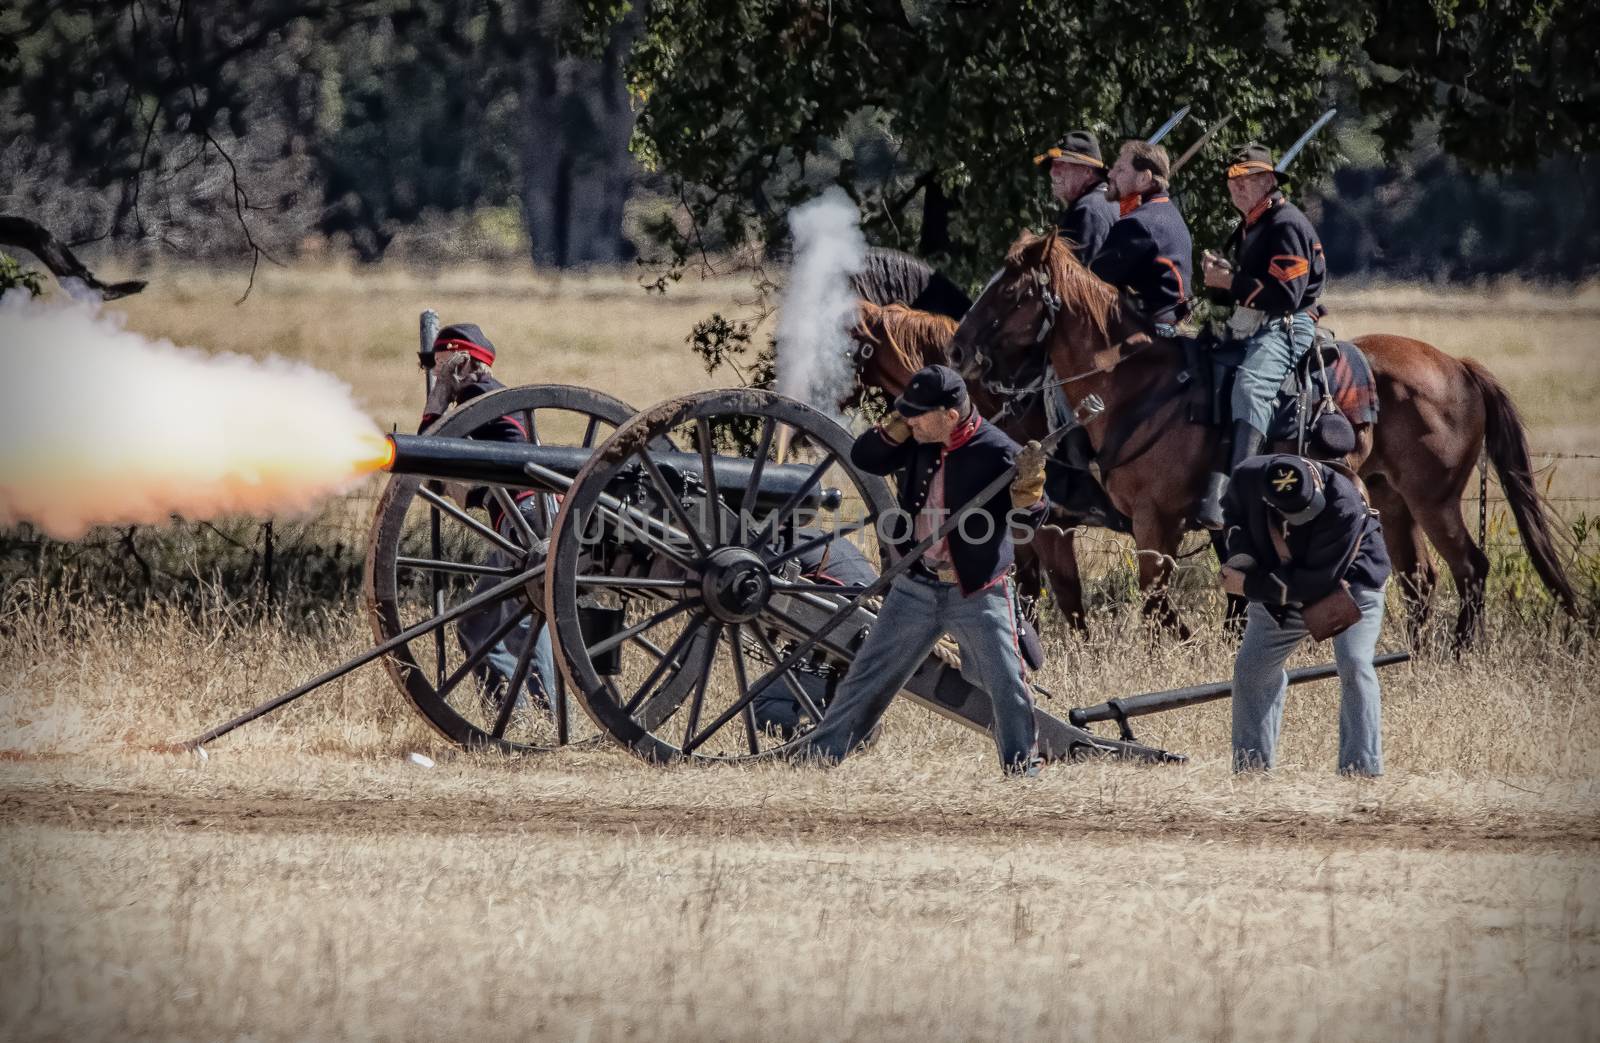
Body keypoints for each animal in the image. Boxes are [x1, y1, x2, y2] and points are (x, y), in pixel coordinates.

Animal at [940, 231, 1580, 646]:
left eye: (1012, 293)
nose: (957, 349)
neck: (1131, 384)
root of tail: (1459, 366)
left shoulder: (1152, 522)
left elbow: (1152, 603)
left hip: (1435, 499)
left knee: (1470, 569)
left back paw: (1459, 653)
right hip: (1393, 498)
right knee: (1420, 580)